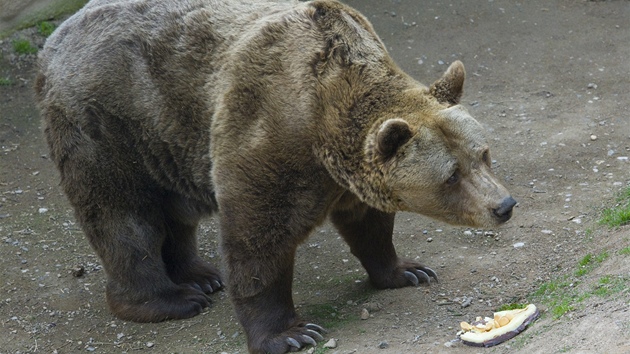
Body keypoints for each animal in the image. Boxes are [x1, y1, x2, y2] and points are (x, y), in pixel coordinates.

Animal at [35, 0, 520, 354]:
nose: (504, 205)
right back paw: (171, 298)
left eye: (483, 154)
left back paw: (200, 276)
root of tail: (56, 38)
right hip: (110, 129)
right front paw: (290, 333)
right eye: (452, 175)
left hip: (165, 145)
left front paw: (407, 270)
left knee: (174, 215)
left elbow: (369, 224)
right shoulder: (268, 132)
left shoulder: (344, 177)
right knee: (124, 220)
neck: (325, 117)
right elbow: (258, 239)